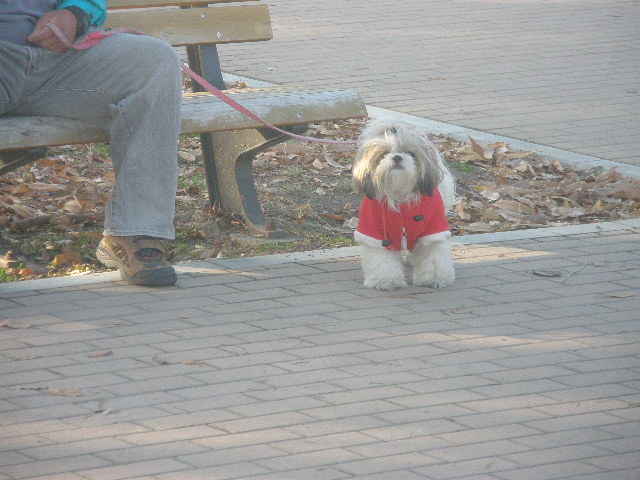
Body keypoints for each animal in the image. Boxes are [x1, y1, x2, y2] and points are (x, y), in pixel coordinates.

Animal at [352, 119, 456, 290]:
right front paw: (385, 280)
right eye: (384, 154)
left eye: (411, 154)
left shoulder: (433, 229)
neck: (399, 196)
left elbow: (433, 256)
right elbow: (382, 258)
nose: (397, 157)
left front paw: (434, 278)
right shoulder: (374, 231)